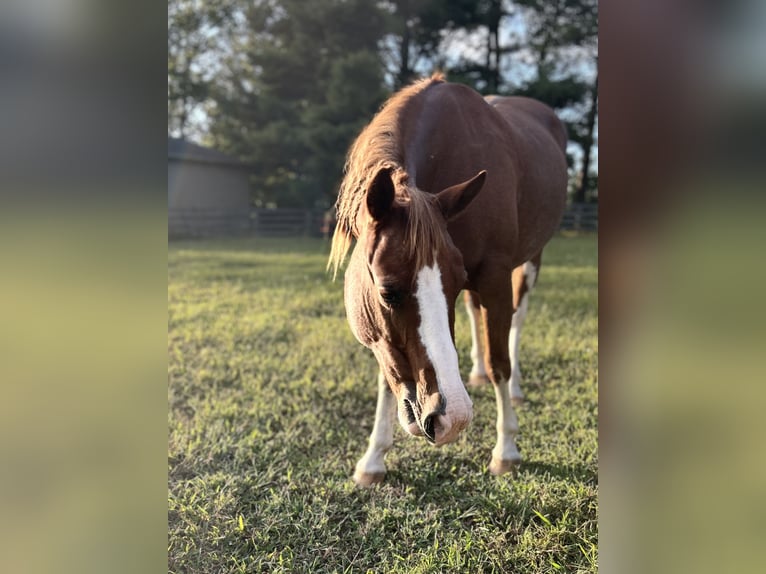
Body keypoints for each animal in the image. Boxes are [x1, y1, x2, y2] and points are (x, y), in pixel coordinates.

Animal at [328, 74, 567, 486]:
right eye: (387, 292)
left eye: (455, 281)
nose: (451, 417)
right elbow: (388, 377)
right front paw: (373, 458)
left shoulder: (494, 277)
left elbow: (501, 360)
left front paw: (506, 451)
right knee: (476, 315)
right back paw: (476, 372)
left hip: (531, 259)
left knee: (517, 320)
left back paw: (515, 388)